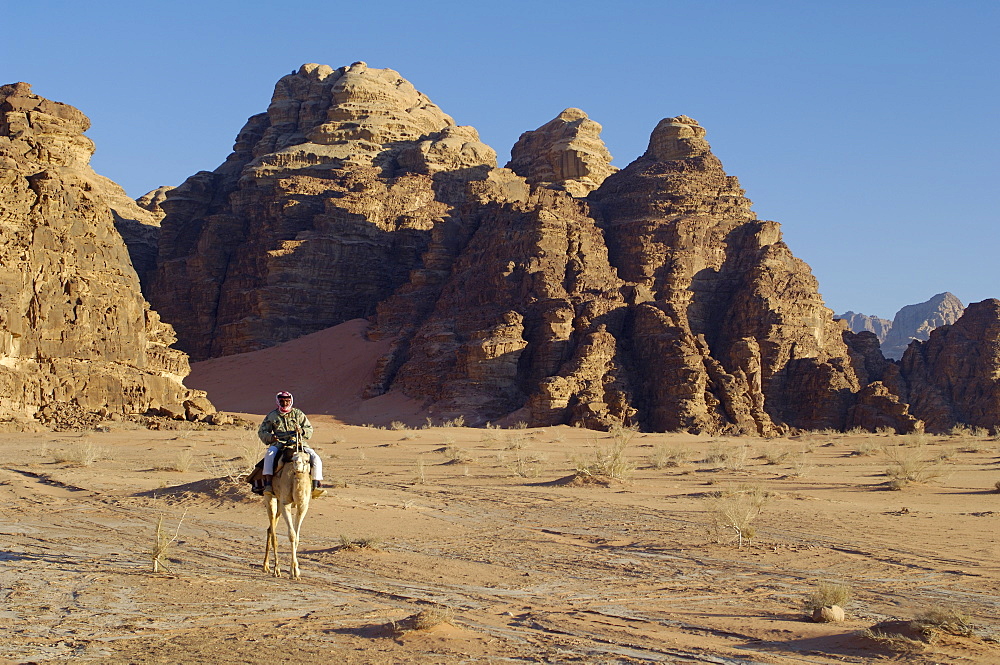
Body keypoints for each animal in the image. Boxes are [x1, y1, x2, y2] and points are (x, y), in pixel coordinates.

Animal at [264, 444, 310, 580]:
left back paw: (266, 566)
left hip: (279, 502)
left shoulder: (303, 506)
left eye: (307, 460)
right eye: (294, 459)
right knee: (273, 532)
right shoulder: (285, 504)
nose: (298, 465)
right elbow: (292, 535)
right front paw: (294, 572)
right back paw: (275, 569)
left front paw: (295, 571)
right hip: (270, 498)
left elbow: (297, 537)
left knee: (270, 529)